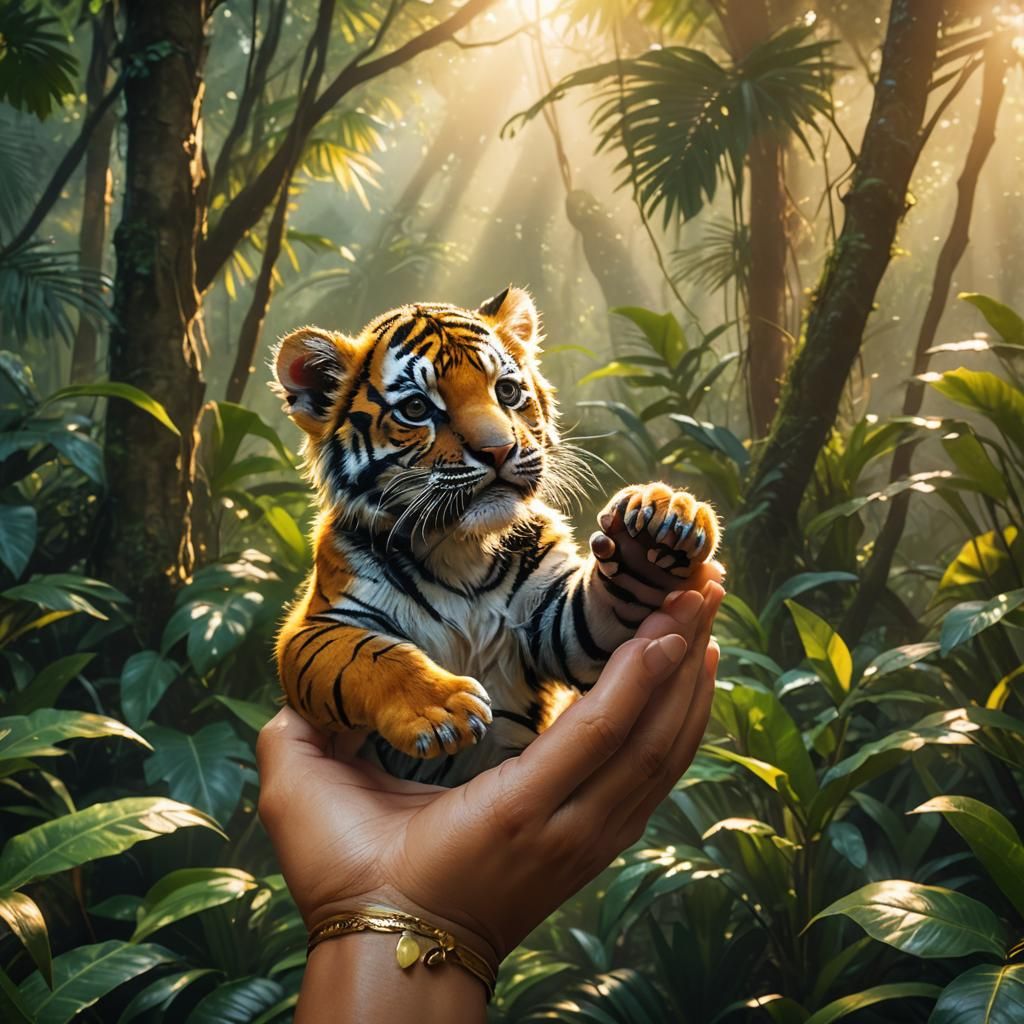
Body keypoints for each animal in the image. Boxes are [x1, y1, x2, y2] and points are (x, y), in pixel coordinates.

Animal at [272, 286, 720, 786]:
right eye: (416, 409)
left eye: (506, 391)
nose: (499, 449)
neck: (458, 548)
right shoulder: (316, 626)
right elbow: (367, 655)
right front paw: (442, 709)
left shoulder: (555, 620)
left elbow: (608, 604)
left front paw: (654, 529)